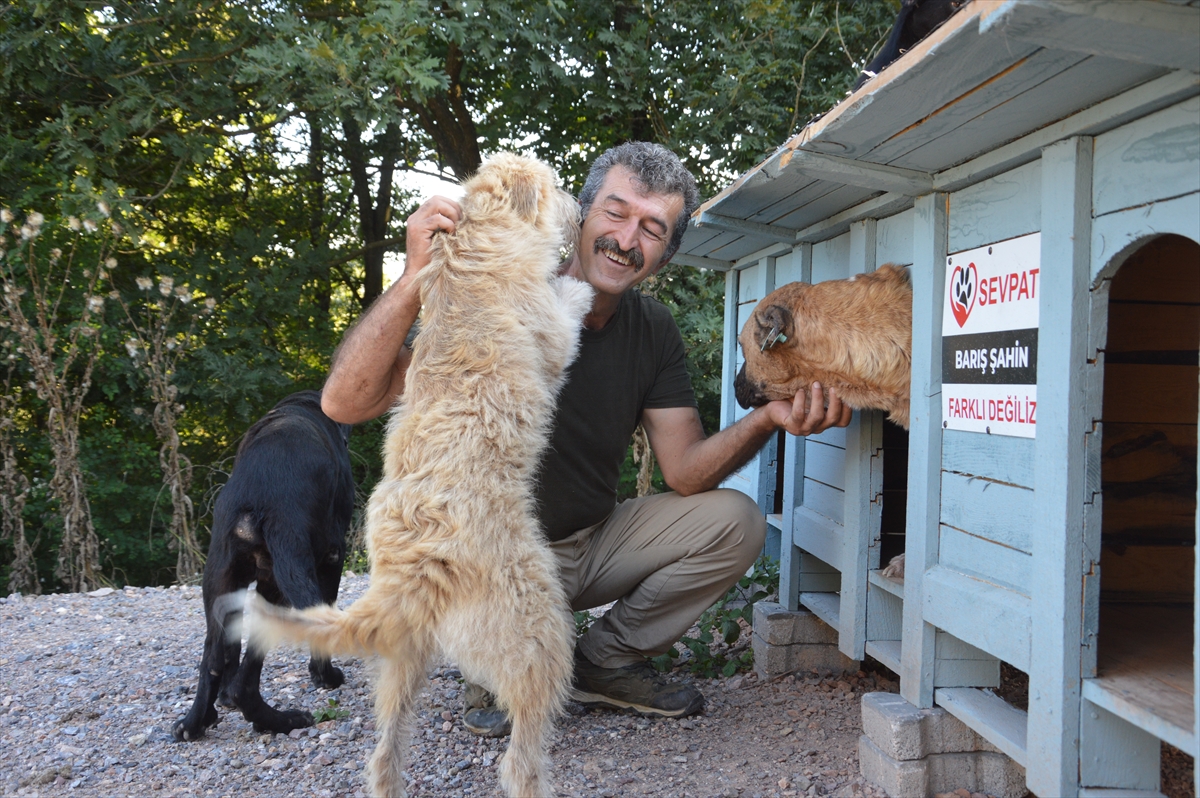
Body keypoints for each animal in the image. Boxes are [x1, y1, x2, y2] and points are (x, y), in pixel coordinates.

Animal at [174, 391, 352, 739]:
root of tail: (258, 500)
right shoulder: (332, 559)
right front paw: (325, 677)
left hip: (221, 583)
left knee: (213, 658)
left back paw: (195, 722)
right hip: (278, 586)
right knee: (246, 681)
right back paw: (282, 720)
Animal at [244, 153, 595, 796]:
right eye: (556, 186)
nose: (581, 209)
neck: (478, 246)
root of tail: (415, 575)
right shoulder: (552, 333)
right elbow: (566, 307)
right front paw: (577, 284)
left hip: (400, 667)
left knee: (384, 756)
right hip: (543, 639)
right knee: (521, 757)